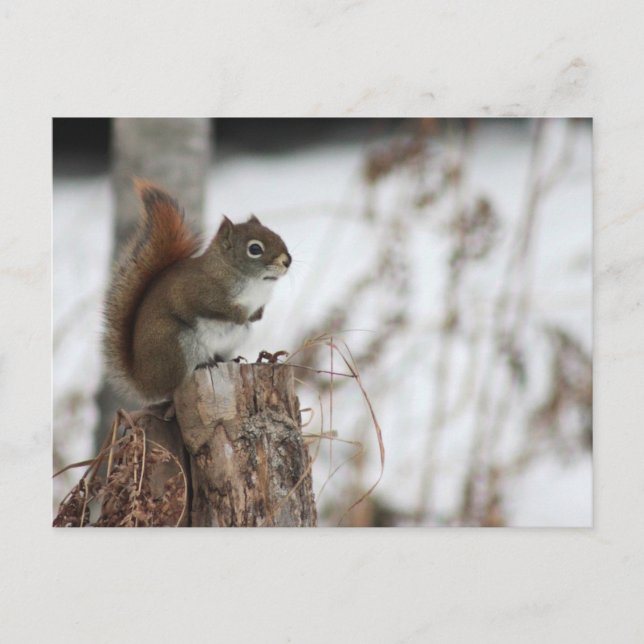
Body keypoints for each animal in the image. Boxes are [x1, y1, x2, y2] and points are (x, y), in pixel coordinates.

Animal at [103, 179, 291, 402]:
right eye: (255, 249)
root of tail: (145, 383)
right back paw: (203, 364)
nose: (287, 261)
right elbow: (212, 307)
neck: (255, 283)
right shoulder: (196, 290)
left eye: (277, 235)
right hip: (175, 341)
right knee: (174, 384)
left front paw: (255, 316)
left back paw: (232, 360)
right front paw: (239, 315)